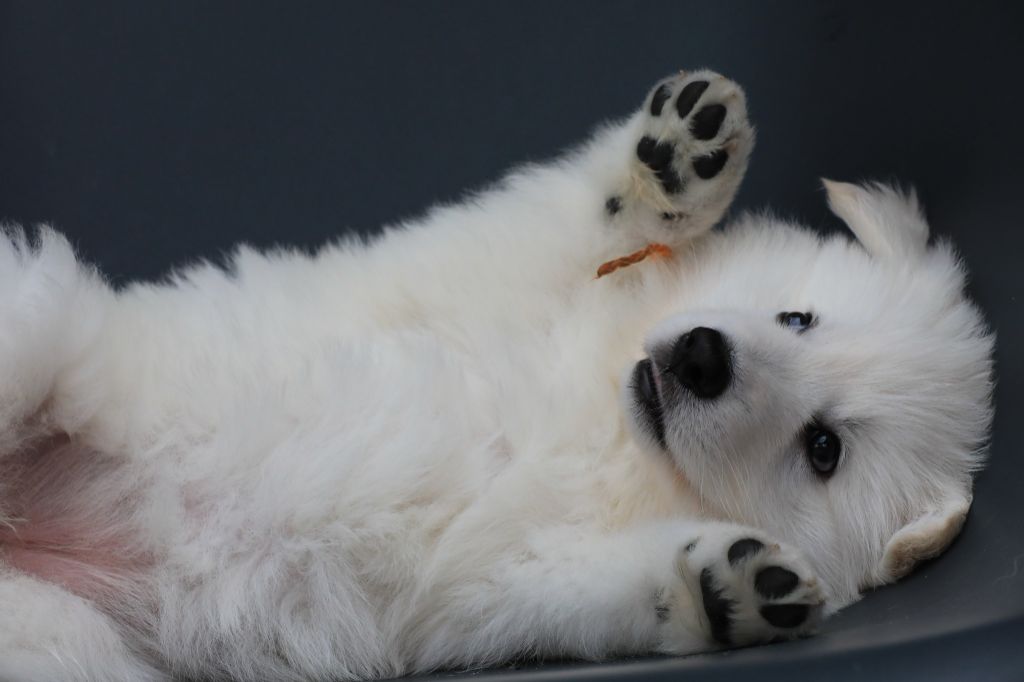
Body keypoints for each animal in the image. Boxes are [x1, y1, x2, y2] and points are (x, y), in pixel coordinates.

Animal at [0, 71, 995, 675]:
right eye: (799, 316)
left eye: (824, 448)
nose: (702, 358)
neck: (600, 417)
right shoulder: (486, 269)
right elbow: (583, 218)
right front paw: (678, 154)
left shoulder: (506, 575)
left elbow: (605, 590)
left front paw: (730, 588)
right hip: (59, 331)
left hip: (65, 639)